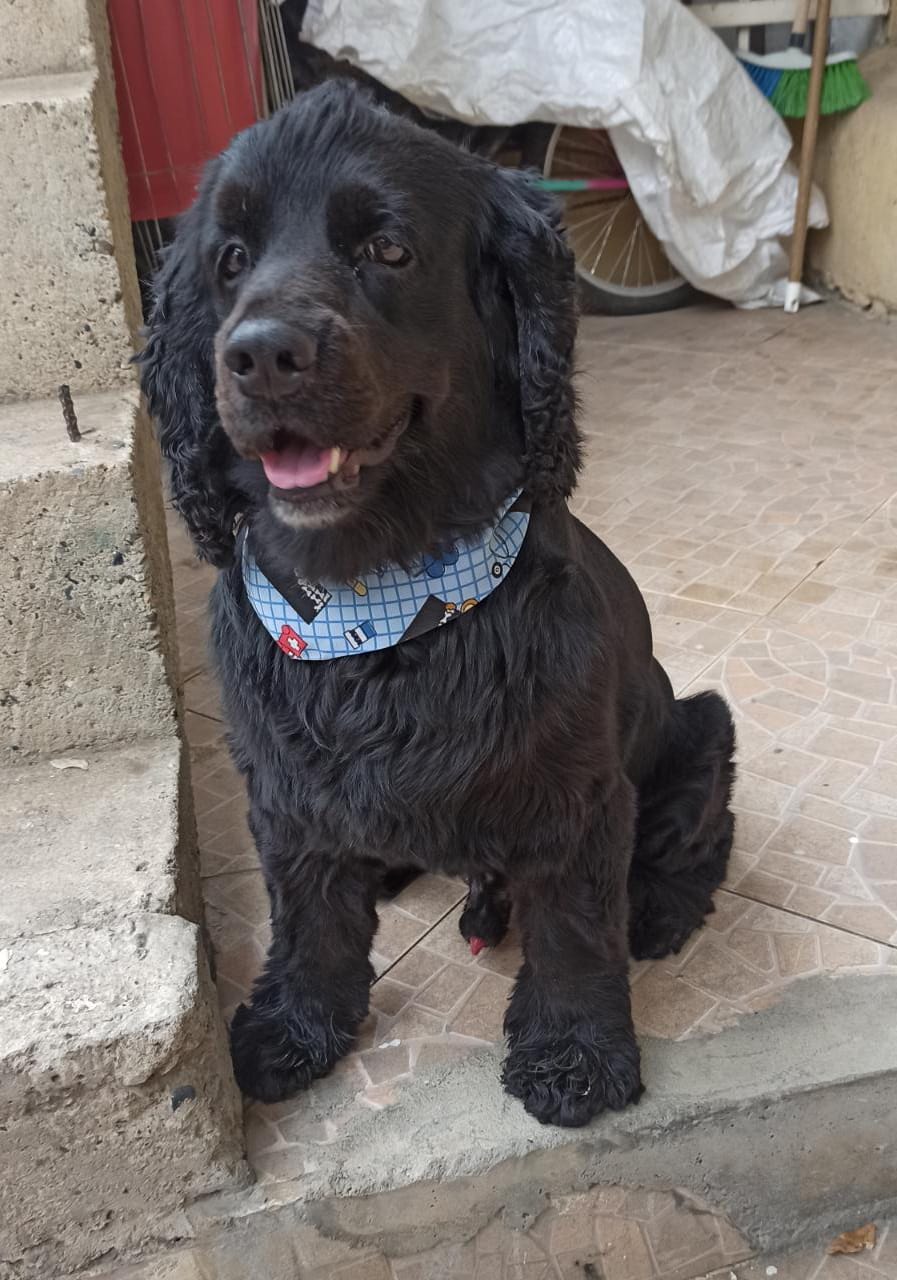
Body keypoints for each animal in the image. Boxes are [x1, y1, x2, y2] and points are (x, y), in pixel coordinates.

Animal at [140, 81, 736, 1128]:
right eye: (230, 259)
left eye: (387, 248)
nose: (261, 355)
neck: (377, 601)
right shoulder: (283, 790)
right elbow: (310, 918)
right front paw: (294, 1027)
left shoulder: (576, 799)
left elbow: (575, 932)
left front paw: (573, 1053)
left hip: (700, 724)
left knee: (703, 837)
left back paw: (659, 911)